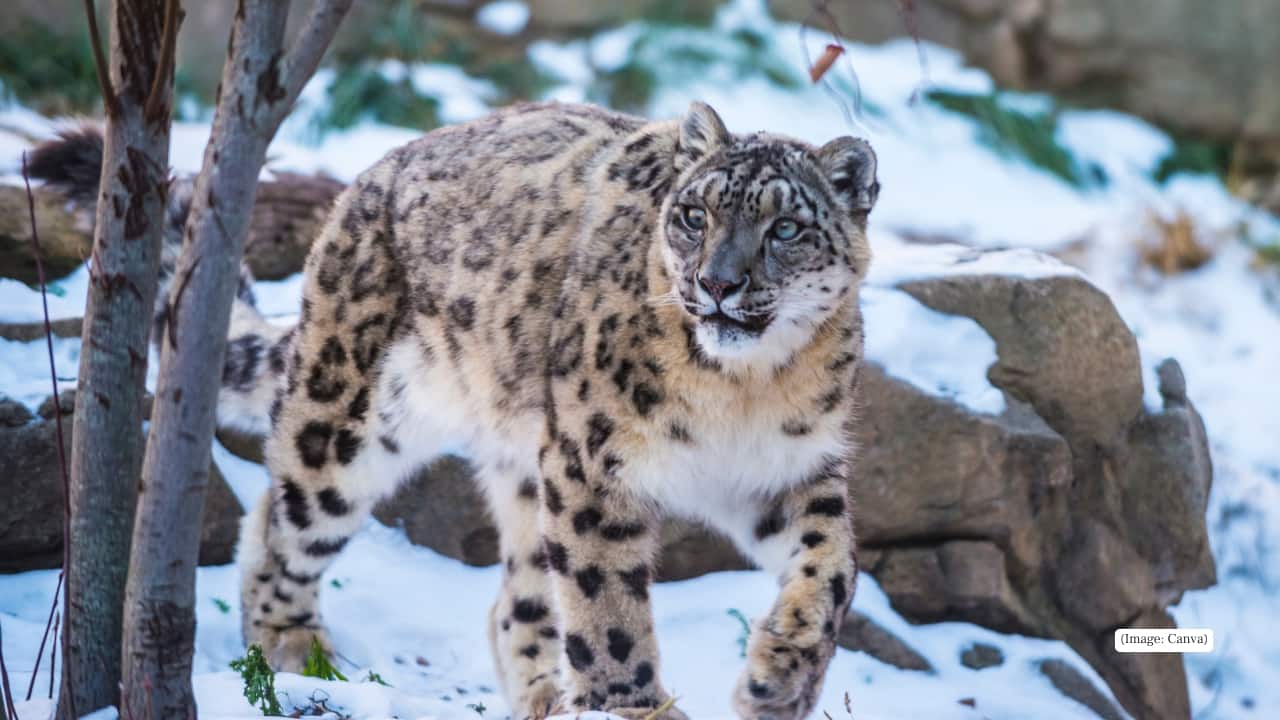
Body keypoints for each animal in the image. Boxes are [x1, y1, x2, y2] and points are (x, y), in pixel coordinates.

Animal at [30, 100, 878, 720]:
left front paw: (777, 681)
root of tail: (363, 181)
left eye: (786, 227)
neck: (743, 390)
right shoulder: (593, 467)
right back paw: (293, 654)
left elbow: (834, 572)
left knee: (517, 604)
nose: (718, 283)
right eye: (696, 214)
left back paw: (544, 703)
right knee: (281, 519)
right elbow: (608, 615)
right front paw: (635, 708)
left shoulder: (787, 473)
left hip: (526, 468)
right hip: (353, 418)